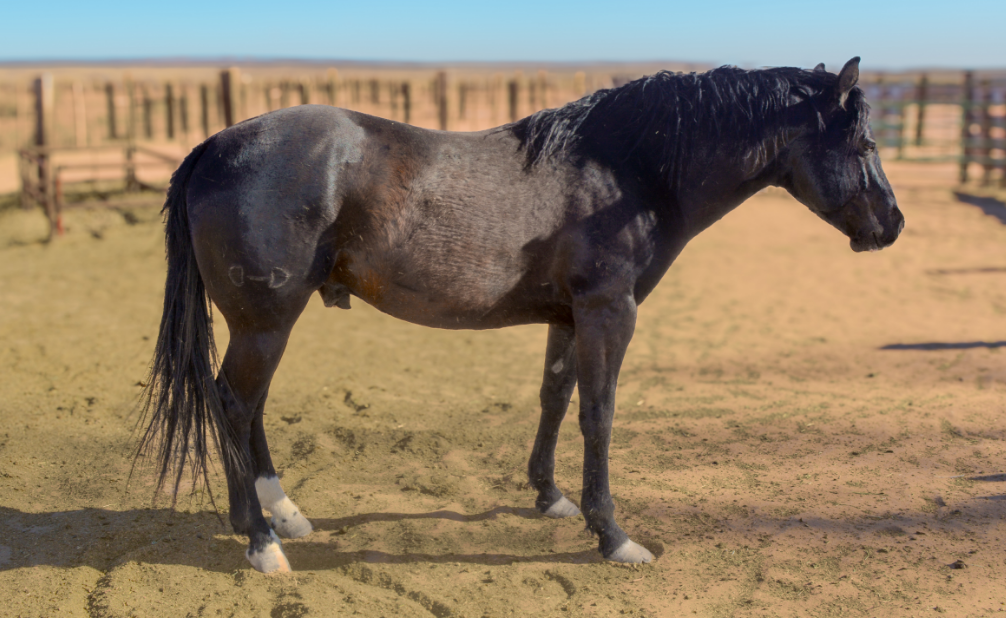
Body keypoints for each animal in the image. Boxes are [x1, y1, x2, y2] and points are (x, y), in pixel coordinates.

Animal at [138, 57, 903, 573]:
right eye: (864, 144)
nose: (892, 226)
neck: (626, 171)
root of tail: (215, 145)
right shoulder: (609, 312)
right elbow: (599, 412)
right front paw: (612, 534)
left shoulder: (568, 316)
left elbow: (555, 397)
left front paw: (549, 497)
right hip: (265, 322)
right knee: (235, 404)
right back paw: (261, 540)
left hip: (263, 324)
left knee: (248, 408)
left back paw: (284, 516)